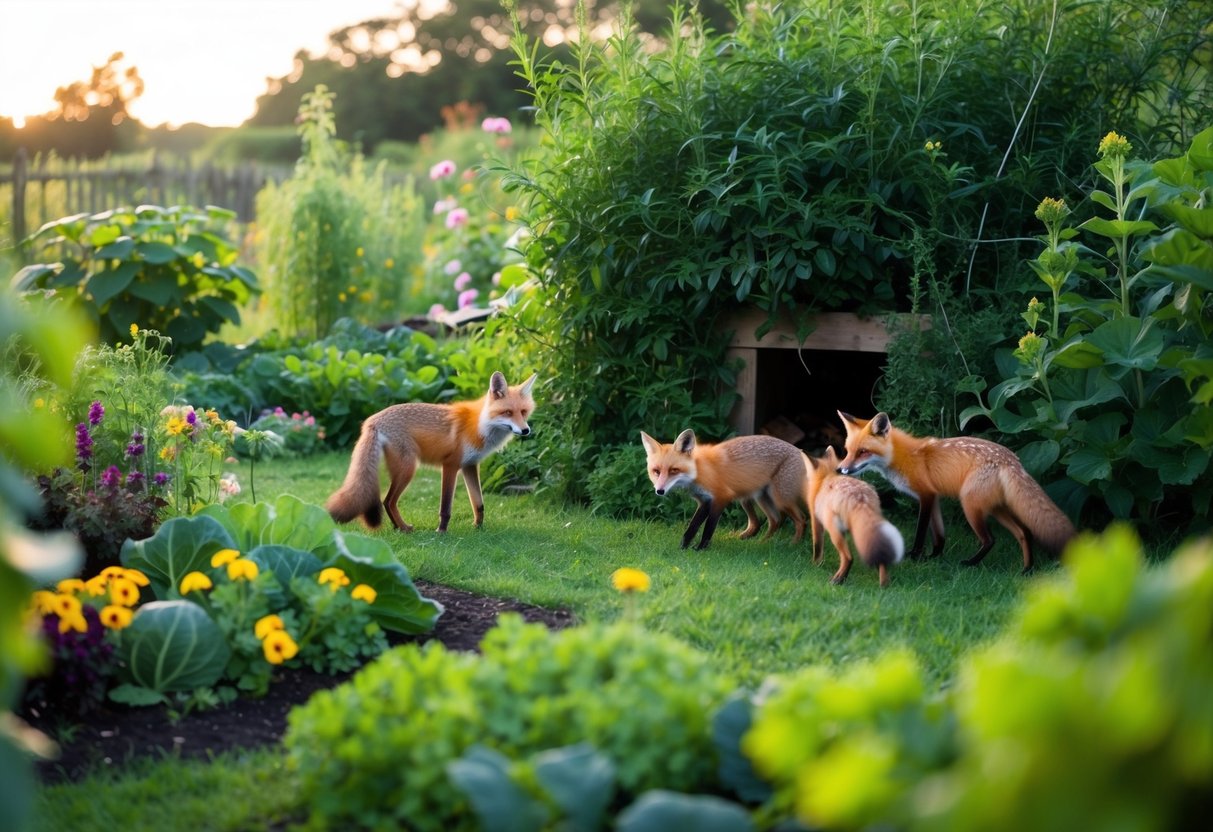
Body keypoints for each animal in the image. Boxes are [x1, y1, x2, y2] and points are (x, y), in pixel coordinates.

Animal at [326, 371, 537, 532]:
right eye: (508, 412)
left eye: (523, 412)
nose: (525, 430)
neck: (480, 426)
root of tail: (371, 420)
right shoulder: (451, 465)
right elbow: (445, 507)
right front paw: (441, 531)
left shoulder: (470, 465)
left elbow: (479, 503)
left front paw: (478, 528)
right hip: (408, 469)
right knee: (388, 501)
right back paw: (404, 528)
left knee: (386, 501)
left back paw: (398, 528)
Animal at [640, 429, 809, 550]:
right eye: (656, 471)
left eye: (674, 470)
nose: (659, 491)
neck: (699, 471)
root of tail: (801, 452)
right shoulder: (704, 501)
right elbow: (692, 527)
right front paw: (683, 548)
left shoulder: (721, 497)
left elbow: (708, 528)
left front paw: (700, 549)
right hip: (755, 498)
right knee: (769, 522)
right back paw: (760, 543)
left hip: (779, 499)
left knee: (801, 520)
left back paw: (793, 545)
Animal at [807, 446, 905, 587]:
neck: (828, 477)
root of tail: (860, 497)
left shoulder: (816, 521)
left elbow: (817, 546)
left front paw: (815, 565)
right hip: (861, 530)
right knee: (880, 556)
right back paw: (884, 585)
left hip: (835, 532)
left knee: (848, 557)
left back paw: (837, 580)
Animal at [835, 411, 1076, 573]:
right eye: (848, 451)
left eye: (863, 452)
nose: (840, 469)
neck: (904, 457)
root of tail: (1012, 460)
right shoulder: (934, 499)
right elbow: (939, 535)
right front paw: (934, 557)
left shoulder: (926, 495)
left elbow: (921, 532)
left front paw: (915, 555)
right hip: (996, 508)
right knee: (1024, 533)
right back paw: (1027, 570)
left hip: (970, 505)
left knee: (991, 539)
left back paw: (971, 563)